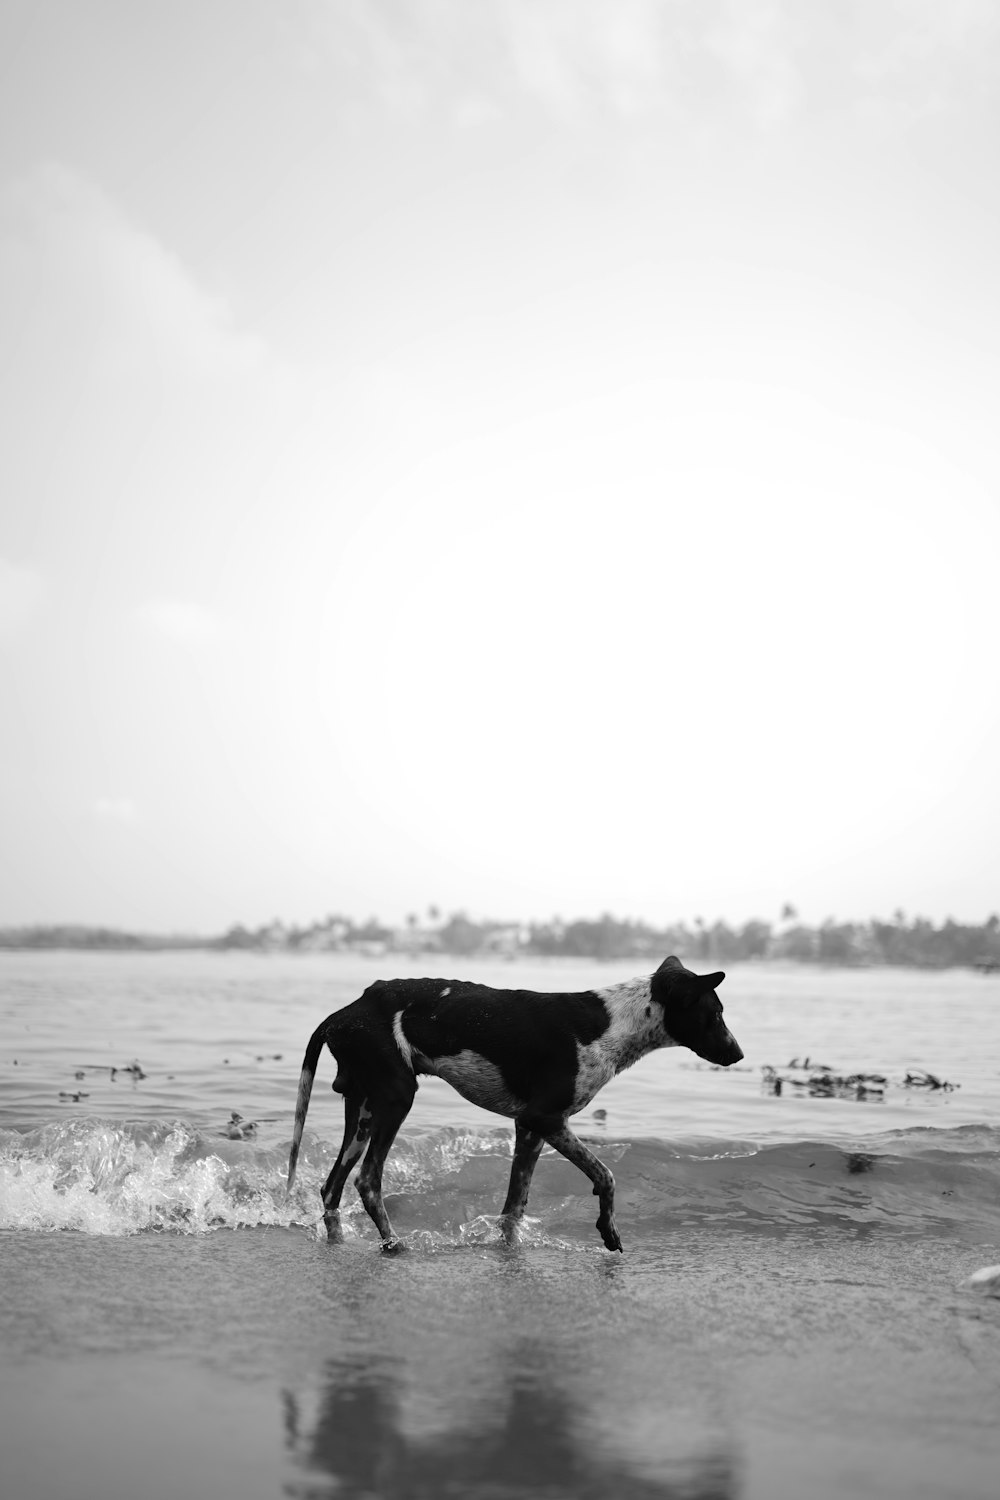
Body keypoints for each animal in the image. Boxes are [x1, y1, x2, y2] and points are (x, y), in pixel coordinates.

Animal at [287, 948, 743, 1254]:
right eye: (716, 1013)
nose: (738, 1055)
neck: (614, 1023)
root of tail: (345, 1012)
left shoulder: (529, 1129)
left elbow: (514, 1207)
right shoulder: (547, 1120)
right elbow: (607, 1175)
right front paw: (608, 1230)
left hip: (364, 1110)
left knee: (331, 1187)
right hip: (397, 1098)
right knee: (367, 1180)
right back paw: (395, 1244)